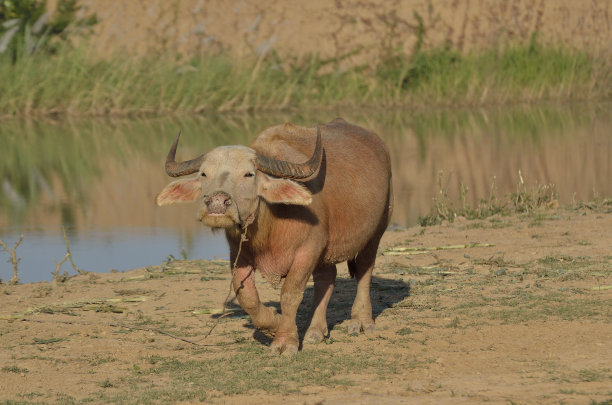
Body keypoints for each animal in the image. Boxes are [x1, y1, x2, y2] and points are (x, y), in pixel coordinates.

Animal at [154, 117, 392, 354]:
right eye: (203, 174)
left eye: (248, 174)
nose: (217, 203)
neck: (270, 226)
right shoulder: (239, 255)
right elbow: (247, 297)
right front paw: (274, 325)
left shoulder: (308, 251)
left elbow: (290, 294)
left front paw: (285, 341)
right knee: (327, 277)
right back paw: (315, 330)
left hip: (378, 228)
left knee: (364, 269)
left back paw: (360, 321)